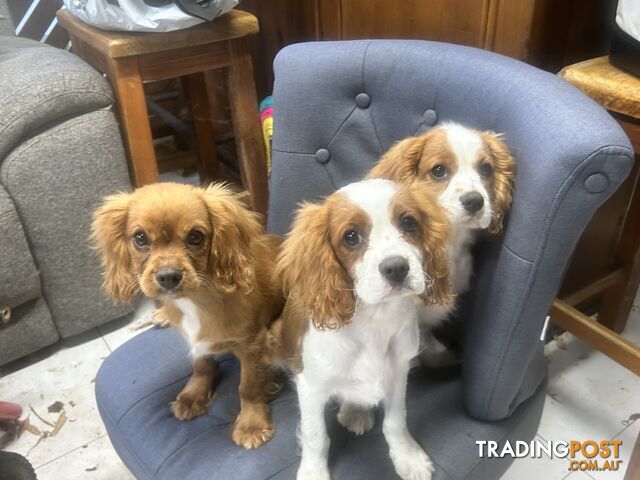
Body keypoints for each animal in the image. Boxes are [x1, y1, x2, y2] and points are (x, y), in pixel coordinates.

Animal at [91, 182, 284, 448]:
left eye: (196, 236)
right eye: (140, 238)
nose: (168, 276)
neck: (194, 300)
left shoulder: (253, 345)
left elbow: (248, 386)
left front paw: (251, 425)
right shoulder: (196, 341)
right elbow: (201, 366)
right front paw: (193, 396)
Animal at [268, 179, 450, 480]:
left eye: (409, 223)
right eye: (351, 237)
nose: (396, 268)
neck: (375, 320)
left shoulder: (397, 373)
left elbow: (396, 420)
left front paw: (407, 457)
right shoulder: (310, 386)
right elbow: (316, 436)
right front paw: (314, 471)